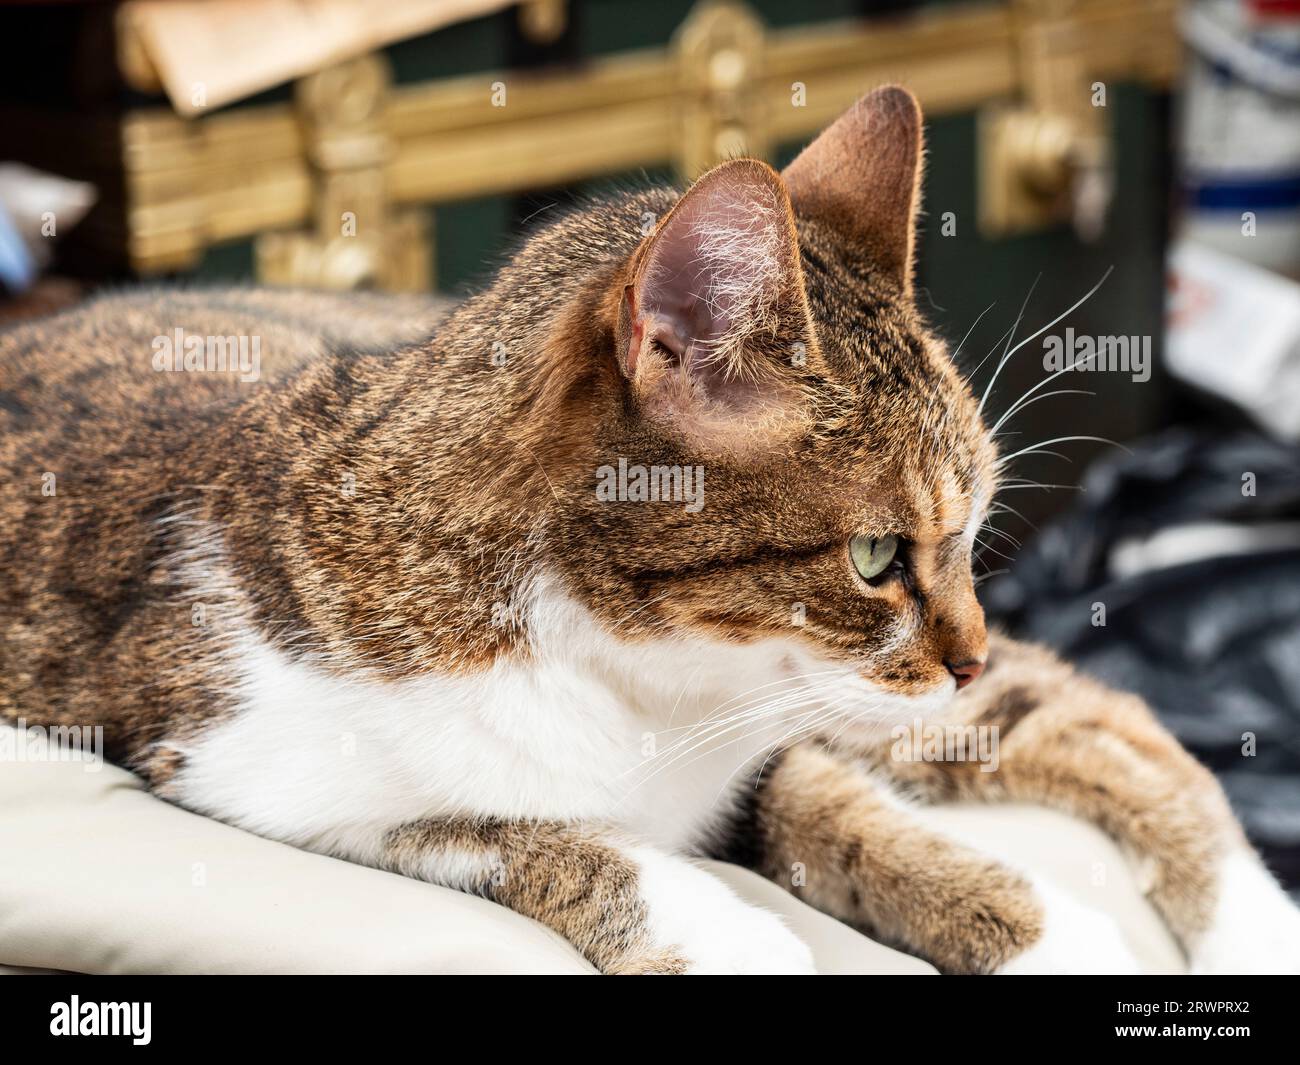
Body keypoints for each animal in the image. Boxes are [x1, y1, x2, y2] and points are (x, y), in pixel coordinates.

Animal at [2, 85, 1300, 972]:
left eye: (975, 534)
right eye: (876, 558)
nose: (968, 652)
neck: (643, 680)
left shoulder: (787, 734)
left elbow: (837, 811)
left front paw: (1041, 933)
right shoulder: (247, 773)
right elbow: (511, 831)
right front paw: (733, 935)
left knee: (1106, 723)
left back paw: (1247, 928)